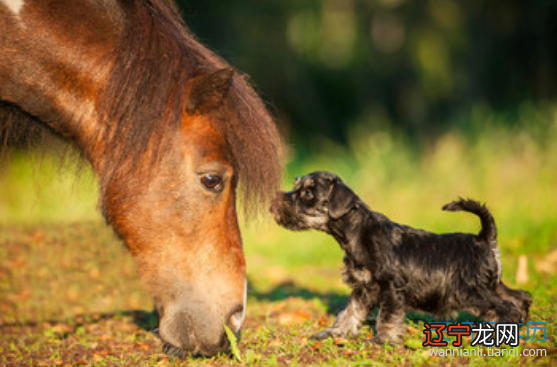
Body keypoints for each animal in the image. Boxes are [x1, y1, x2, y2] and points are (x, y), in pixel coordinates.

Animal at [272, 172, 532, 344]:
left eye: (308, 193)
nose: (273, 204)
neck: (357, 232)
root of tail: (483, 239)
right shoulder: (363, 288)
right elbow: (350, 312)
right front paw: (335, 333)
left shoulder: (391, 287)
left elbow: (387, 316)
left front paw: (381, 340)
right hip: (492, 285)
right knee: (521, 298)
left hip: (470, 292)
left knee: (507, 307)